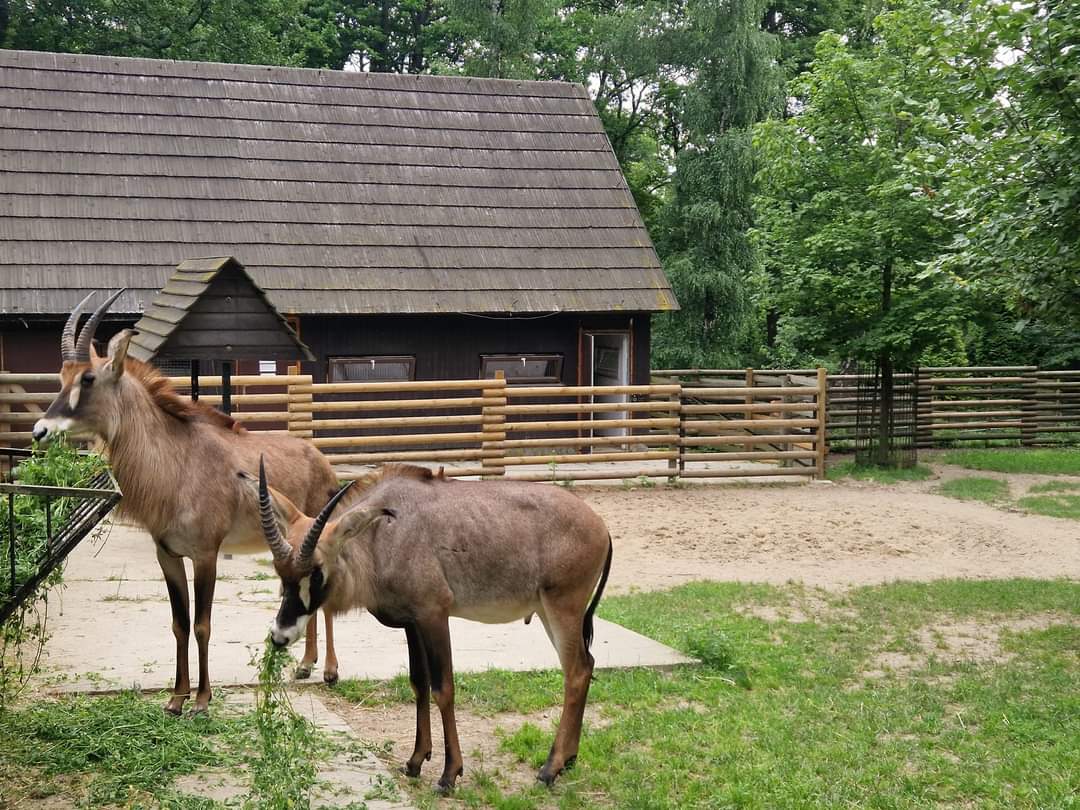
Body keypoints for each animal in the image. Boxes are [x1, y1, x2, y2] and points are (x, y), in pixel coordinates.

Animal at [32, 291, 344, 714]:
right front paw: (176, 698)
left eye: (88, 378)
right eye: (61, 377)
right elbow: (179, 624)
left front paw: (202, 699)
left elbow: (202, 624)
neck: (178, 461)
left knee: (324, 604)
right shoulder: (168, 555)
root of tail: (323, 463)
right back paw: (306, 664)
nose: (40, 431)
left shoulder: (205, 555)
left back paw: (328, 670)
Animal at [244, 460, 613, 792]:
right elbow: (418, 684)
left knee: (576, 672)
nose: (280, 636)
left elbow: (443, 688)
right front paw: (415, 760)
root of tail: (601, 527)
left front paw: (449, 775)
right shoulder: (413, 623)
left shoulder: (435, 616)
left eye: (317, 571)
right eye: (280, 573)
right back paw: (568, 760)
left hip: (562, 608)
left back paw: (550, 769)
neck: (382, 536)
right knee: (585, 666)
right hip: (553, 612)